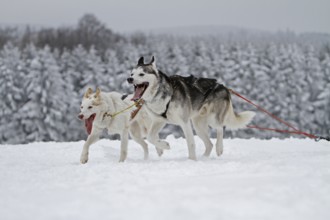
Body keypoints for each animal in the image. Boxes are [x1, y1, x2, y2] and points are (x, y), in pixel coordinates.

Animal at [127, 56, 255, 160]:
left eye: (142, 74)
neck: (163, 93)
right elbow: (150, 137)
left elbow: (191, 143)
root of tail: (222, 86)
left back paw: (219, 148)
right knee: (209, 144)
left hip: (213, 119)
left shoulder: (184, 122)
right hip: (198, 126)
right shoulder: (159, 120)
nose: (129, 79)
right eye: (132, 73)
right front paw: (165, 145)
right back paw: (204, 158)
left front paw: (192, 160)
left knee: (220, 128)